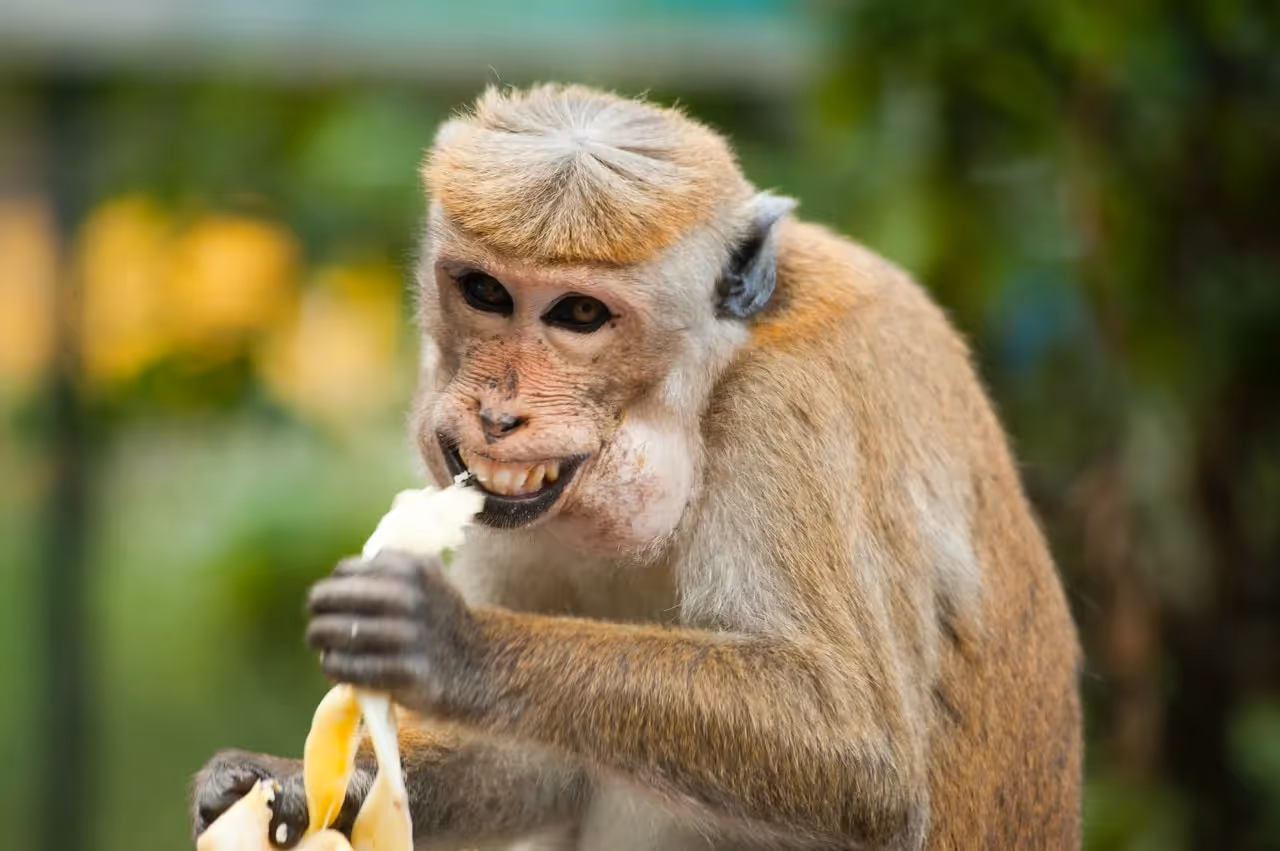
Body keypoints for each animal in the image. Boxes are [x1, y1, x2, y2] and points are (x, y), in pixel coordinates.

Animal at [193, 84, 1083, 850]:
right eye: (485, 292)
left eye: (580, 313)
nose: (497, 415)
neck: (710, 379)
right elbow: (537, 761)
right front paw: (285, 784)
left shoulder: (787, 413)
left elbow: (861, 752)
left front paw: (450, 641)